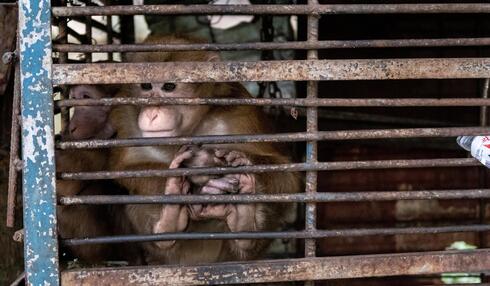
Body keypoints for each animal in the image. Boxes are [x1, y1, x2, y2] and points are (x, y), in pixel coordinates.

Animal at [107, 34, 300, 264]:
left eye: (169, 87)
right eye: (146, 86)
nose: (152, 112)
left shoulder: (238, 113)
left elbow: (286, 176)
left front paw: (239, 162)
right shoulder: (125, 116)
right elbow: (122, 171)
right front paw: (195, 176)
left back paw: (244, 226)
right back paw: (169, 221)